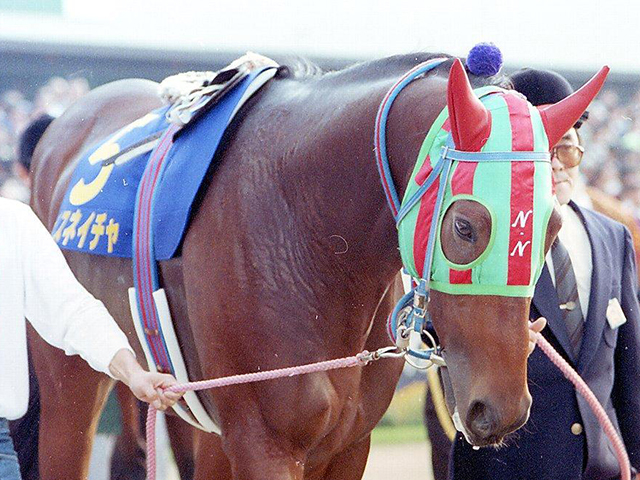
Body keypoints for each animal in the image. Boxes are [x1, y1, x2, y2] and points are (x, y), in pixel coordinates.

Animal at [27, 53, 596, 480]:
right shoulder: (264, 444)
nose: (500, 409)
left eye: (552, 226)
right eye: (464, 226)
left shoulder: (346, 445)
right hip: (70, 382)